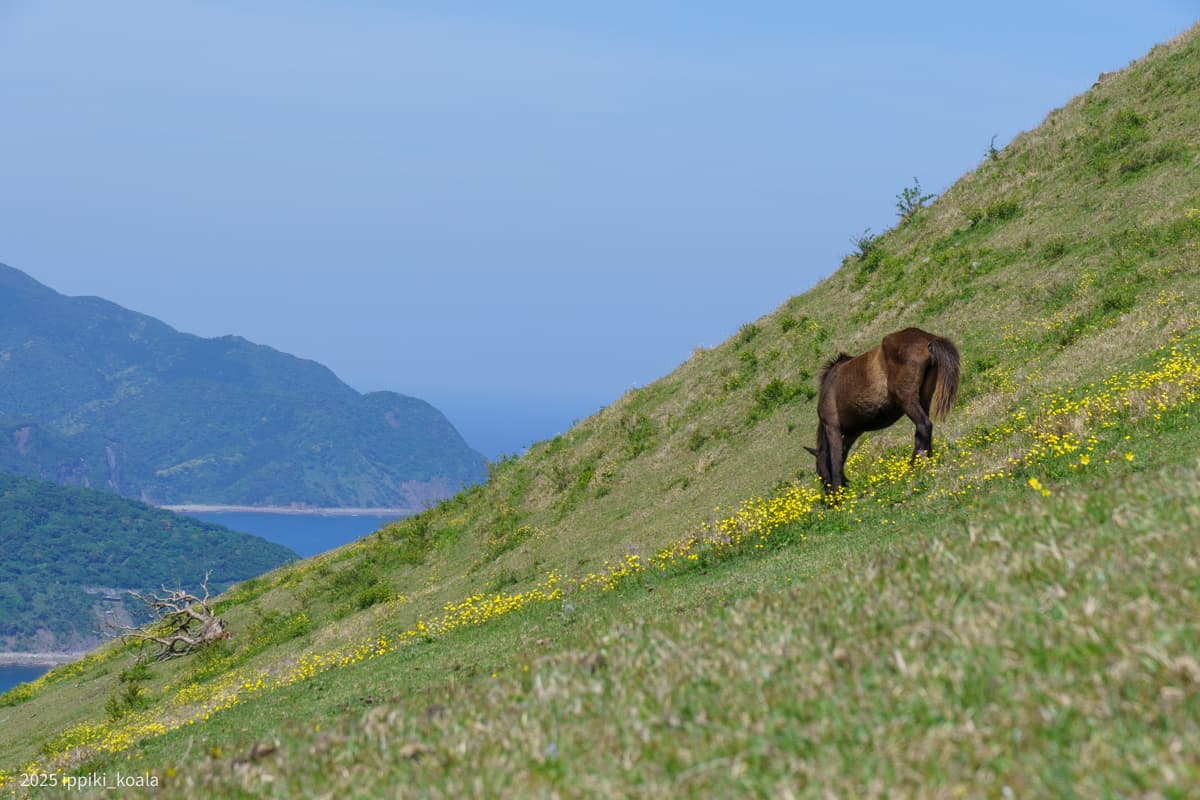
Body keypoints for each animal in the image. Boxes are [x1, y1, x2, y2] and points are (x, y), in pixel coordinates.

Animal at [805, 327, 960, 492]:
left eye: (819, 471)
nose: (828, 496)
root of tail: (927, 339)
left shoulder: (832, 427)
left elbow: (836, 459)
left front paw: (838, 490)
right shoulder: (854, 432)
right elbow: (842, 455)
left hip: (907, 399)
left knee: (924, 425)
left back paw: (914, 466)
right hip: (923, 397)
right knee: (922, 430)